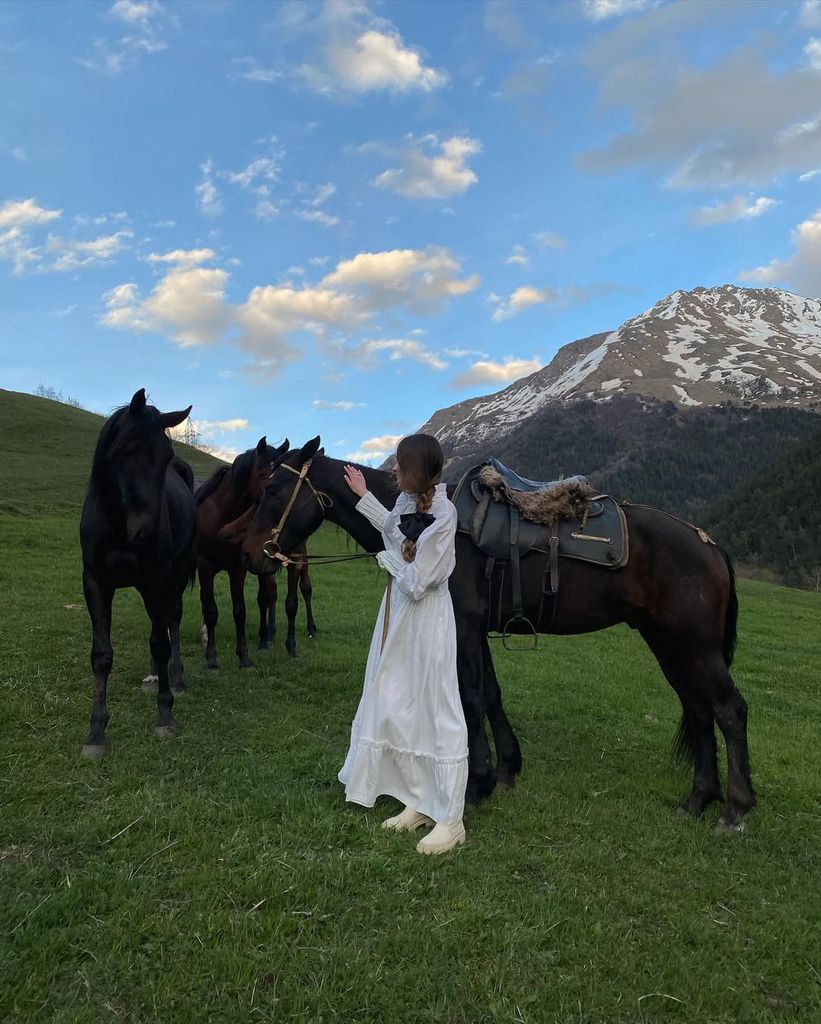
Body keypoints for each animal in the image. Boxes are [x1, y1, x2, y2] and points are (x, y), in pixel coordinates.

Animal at [79, 387, 195, 757]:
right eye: (127, 449)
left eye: (166, 455)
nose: (145, 531)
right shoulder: (95, 582)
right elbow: (101, 655)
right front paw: (96, 732)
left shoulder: (159, 578)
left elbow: (160, 643)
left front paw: (165, 715)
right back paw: (154, 676)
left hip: (173, 578)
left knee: (171, 621)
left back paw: (175, 677)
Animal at [195, 436, 317, 667]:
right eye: (263, 474)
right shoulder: (205, 567)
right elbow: (212, 610)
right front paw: (212, 658)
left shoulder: (239, 568)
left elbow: (241, 610)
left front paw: (244, 656)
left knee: (296, 590)